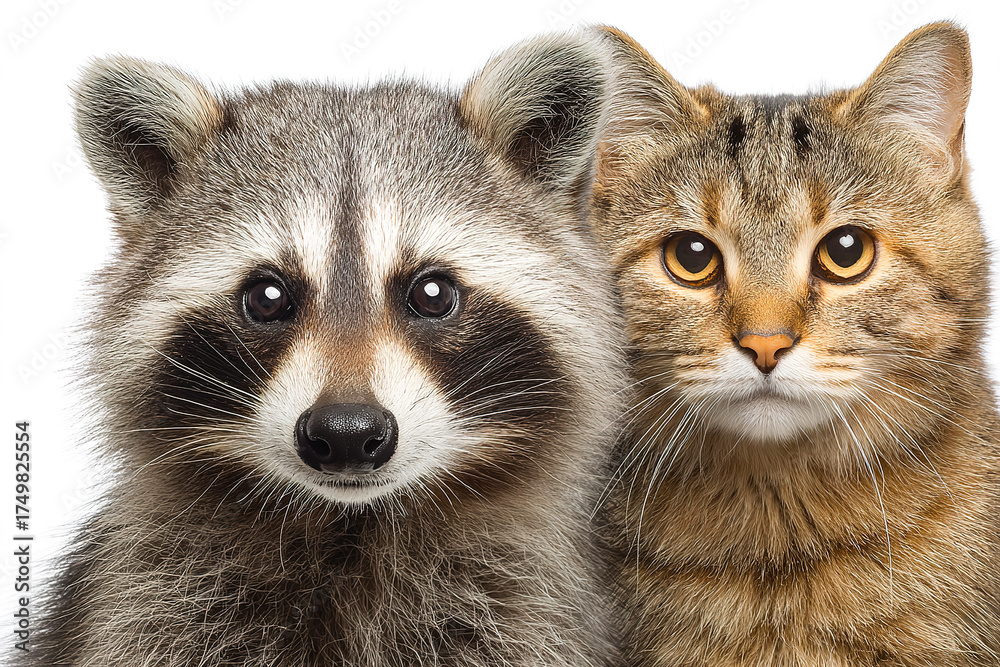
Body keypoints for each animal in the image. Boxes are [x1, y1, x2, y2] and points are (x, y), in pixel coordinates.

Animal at [24, 33, 627, 666]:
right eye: (267, 297)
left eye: (432, 293)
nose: (345, 433)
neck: (351, 527)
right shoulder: (157, 601)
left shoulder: (521, 607)